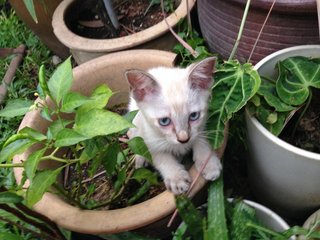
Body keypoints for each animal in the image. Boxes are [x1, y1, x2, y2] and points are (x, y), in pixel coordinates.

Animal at [124, 57, 221, 195]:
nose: (184, 139)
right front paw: (177, 178)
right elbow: (162, 158)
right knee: (133, 136)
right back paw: (140, 159)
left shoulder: (201, 125)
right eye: (164, 121)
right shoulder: (150, 140)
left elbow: (200, 139)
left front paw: (209, 163)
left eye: (194, 116)